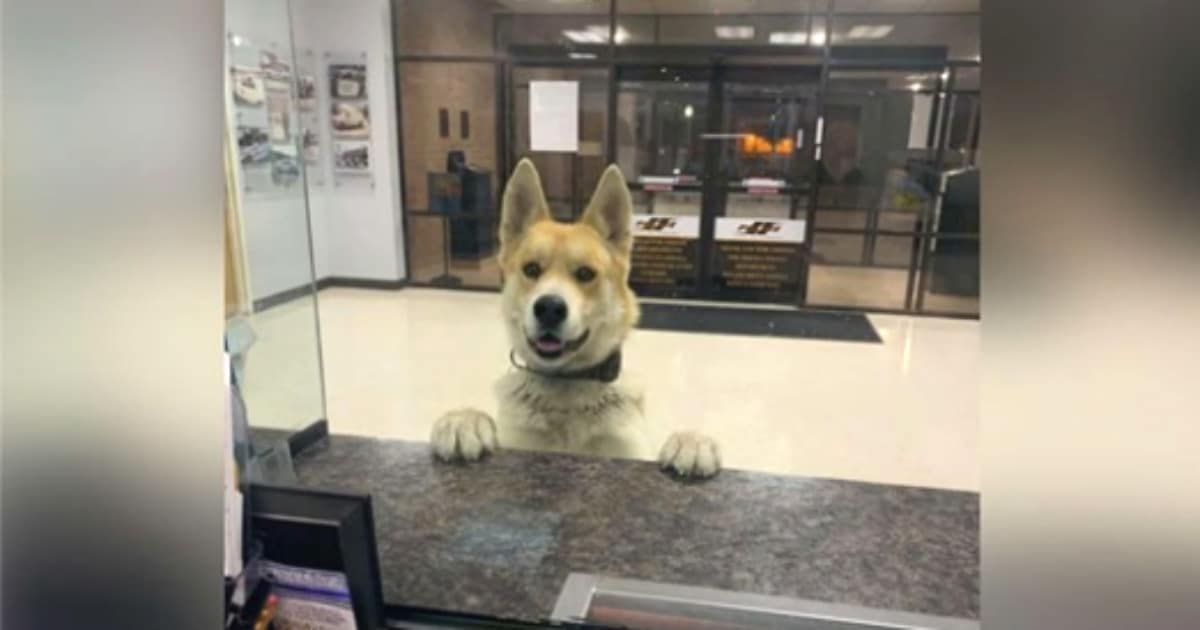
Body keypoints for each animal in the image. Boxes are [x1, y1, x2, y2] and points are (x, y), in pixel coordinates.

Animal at [432, 158, 720, 477]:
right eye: (531, 269)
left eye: (585, 274)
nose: (549, 308)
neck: (566, 387)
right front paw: (464, 419)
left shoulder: (631, 451)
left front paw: (691, 440)